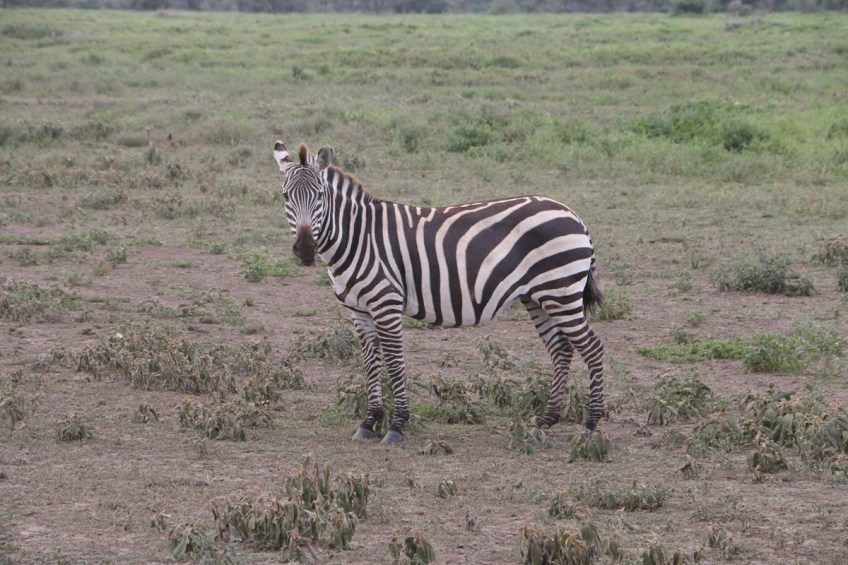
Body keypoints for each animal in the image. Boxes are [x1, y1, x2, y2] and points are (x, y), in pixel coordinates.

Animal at [274, 140, 606, 445]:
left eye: (320, 195)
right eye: (286, 196)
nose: (305, 249)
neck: (358, 238)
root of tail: (573, 214)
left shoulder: (386, 304)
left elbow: (394, 361)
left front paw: (397, 426)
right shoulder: (359, 311)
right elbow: (371, 363)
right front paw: (369, 422)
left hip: (561, 292)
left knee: (592, 347)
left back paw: (591, 425)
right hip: (538, 297)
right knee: (561, 350)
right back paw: (544, 422)